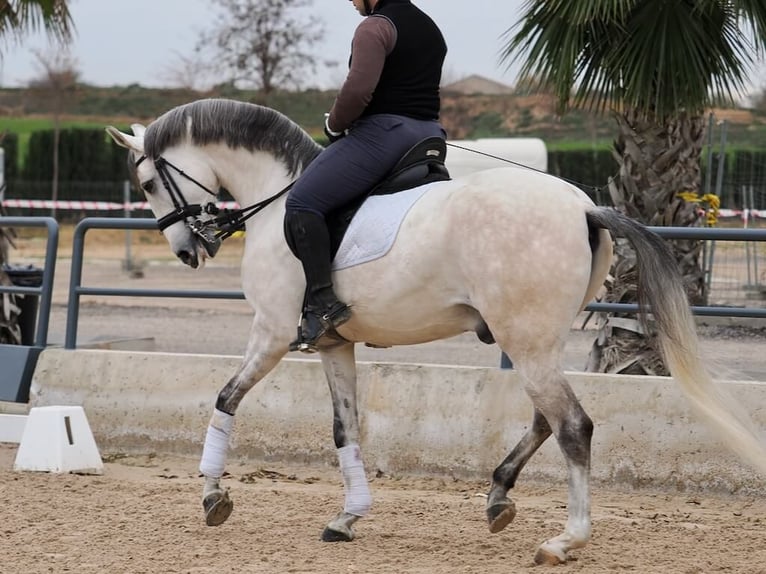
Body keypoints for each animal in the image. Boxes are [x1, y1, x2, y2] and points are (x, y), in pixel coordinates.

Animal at [108, 98, 766, 568]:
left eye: (147, 184)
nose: (187, 251)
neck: (275, 203)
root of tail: (584, 206)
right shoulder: (333, 343)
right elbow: (346, 428)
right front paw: (347, 518)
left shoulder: (270, 335)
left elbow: (225, 399)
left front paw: (212, 496)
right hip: (533, 341)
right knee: (546, 419)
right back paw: (499, 498)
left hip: (525, 343)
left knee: (573, 426)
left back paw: (564, 540)